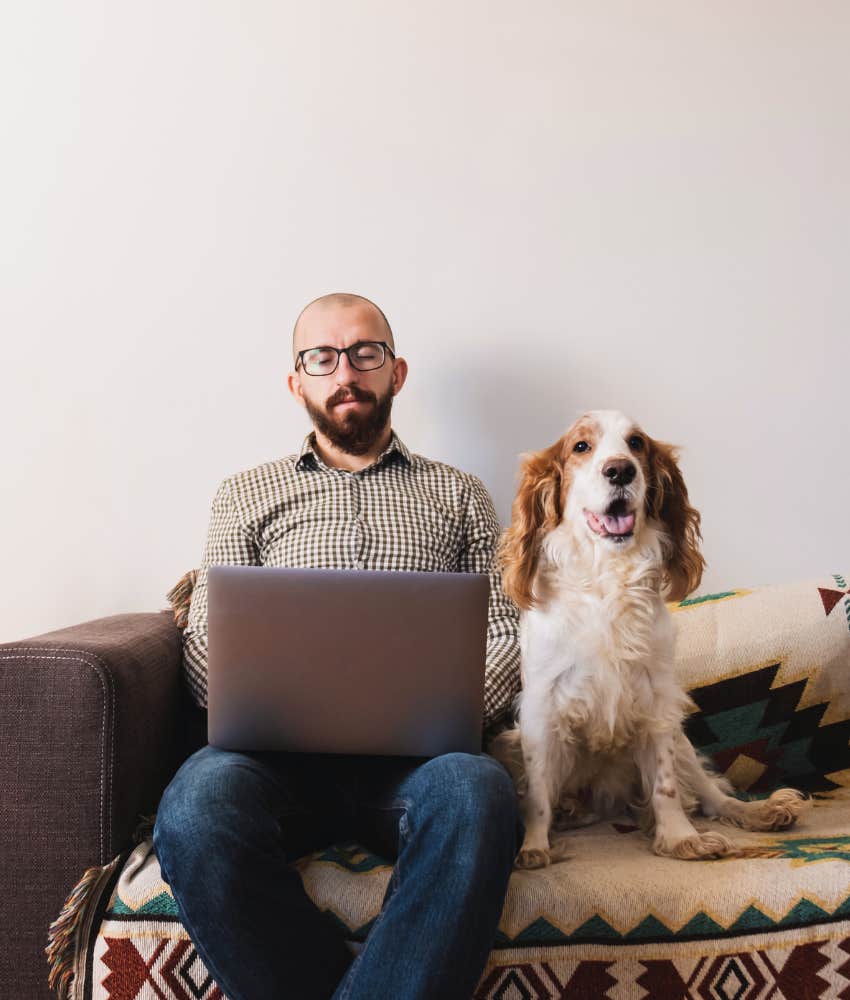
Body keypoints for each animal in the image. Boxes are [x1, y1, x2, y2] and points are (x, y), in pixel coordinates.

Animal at [486, 406, 804, 868]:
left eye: (636, 443)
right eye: (581, 446)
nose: (620, 470)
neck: (607, 577)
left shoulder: (657, 700)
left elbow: (666, 787)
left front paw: (680, 838)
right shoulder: (542, 707)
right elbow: (539, 794)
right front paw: (534, 847)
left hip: (682, 739)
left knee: (712, 795)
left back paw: (761, 812)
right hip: (508, 743)